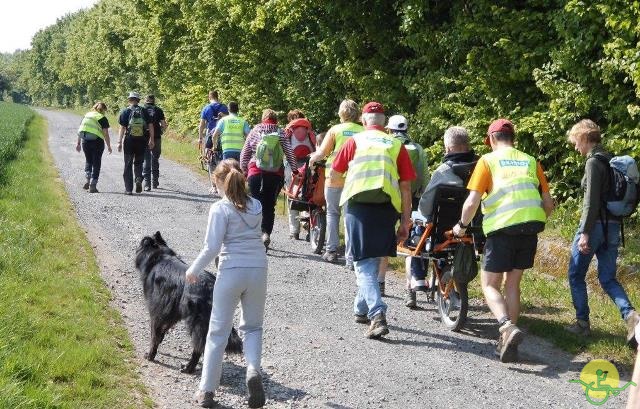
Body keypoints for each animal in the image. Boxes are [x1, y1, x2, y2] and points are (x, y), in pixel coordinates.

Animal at [135, 231, 242, 372]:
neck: (161, 256)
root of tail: (211, 286)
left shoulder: (157, 310)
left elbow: (154, 334)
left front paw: (150, 355)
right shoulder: (172, 313)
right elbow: (161, 332)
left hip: (197, 323)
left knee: (199, 347)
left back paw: (188, 368)